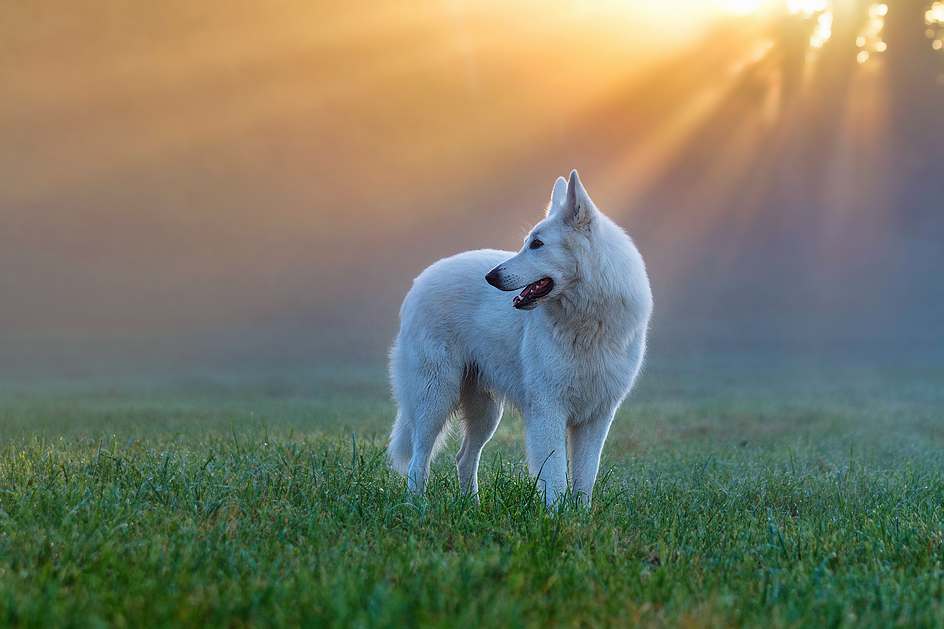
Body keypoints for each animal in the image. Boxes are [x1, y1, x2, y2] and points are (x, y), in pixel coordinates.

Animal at [388, 169, 652, 502]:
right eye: (528, 242)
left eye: (537, 244)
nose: (491, 276)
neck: (588, 321)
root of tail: (420, 281)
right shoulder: (547, 411)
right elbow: (556, 479)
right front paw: (556, 514)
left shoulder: (597, 418)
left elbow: (584, 481)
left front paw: (578, 514)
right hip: (434, 398)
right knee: (418, 461)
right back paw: (418, 507)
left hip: (486, 413)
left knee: (463, 458)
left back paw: (471, 506)